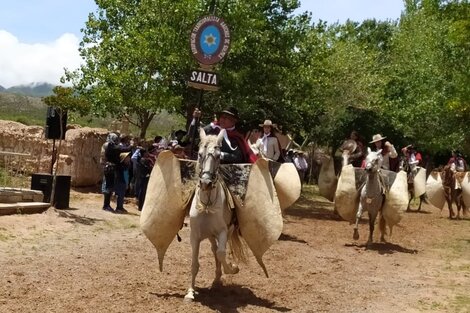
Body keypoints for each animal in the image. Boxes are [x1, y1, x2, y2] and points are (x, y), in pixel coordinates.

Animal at [185, 128, 246, 302]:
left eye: (219, 156)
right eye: (199, 154)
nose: (206, 183)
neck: (207, 206)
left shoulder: (223, 231)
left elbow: (221, 253)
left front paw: (232, 268)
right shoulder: (195, 236)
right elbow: (194, 263)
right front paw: (190, 292)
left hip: (225, 232)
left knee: (219, 251)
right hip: (211, 236)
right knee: (214, 250)